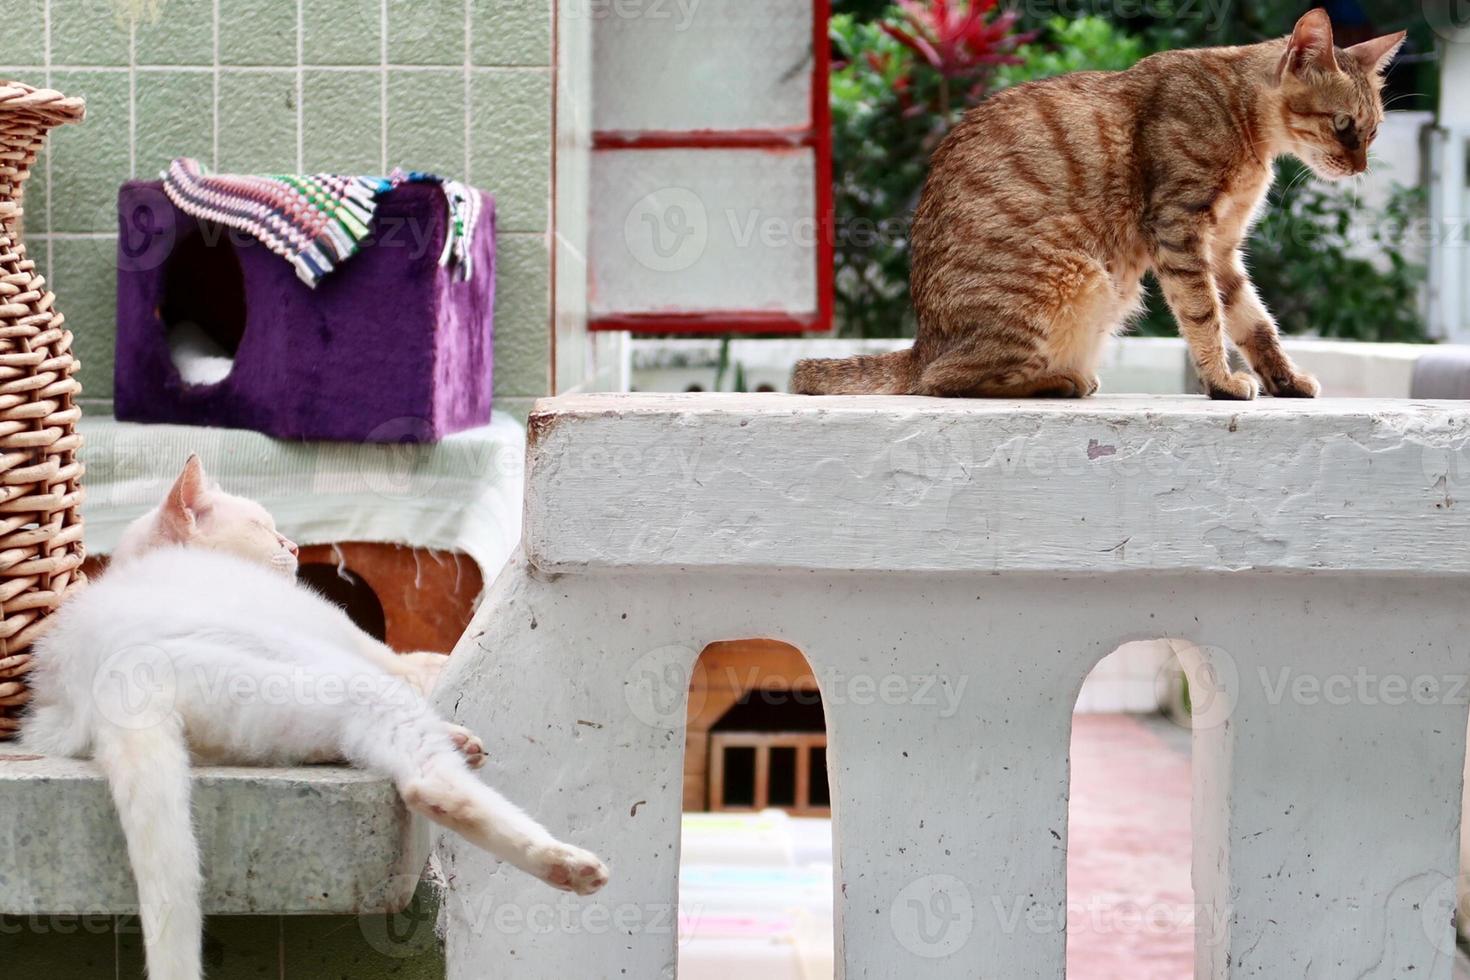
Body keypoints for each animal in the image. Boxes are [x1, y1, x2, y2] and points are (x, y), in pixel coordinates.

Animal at [22, 458, 608, 980]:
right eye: (263, 527)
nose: (294, 546)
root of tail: (112, 680)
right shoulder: (365, 648)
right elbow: (417, 663)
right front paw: (439, 674)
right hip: (339, 679)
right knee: (427, 781)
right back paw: (568, 863)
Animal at [793, 7, 1399, 399]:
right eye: (1343, 125)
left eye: (1372, 132)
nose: (1361, 167)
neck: (1243, 119)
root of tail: (922, 344)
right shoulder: (1180, 232)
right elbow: (1205, 316)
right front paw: (1222, 382)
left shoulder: (1223, 249)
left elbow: (1254, 321)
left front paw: (1285, 380)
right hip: (1075, 276)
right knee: (942, 382)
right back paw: (1059, 381)